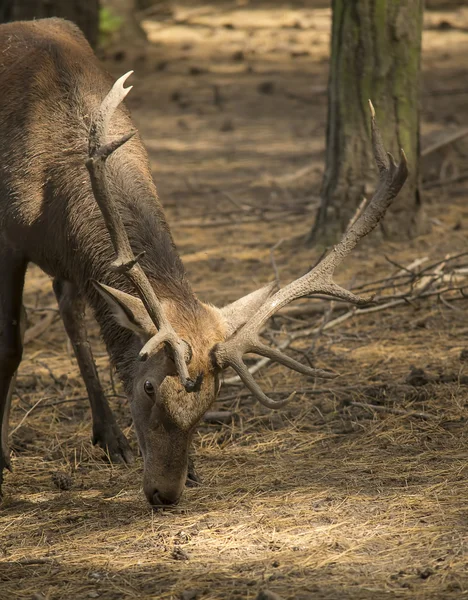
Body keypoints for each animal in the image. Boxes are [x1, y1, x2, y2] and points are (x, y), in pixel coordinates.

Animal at [0, 17, 408, 506]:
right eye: (149, 386)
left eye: (211, 400)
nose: (165, 492)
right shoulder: (8, 236)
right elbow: (10, 343)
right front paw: (0, 458)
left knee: (70, 310)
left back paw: (111, 437)